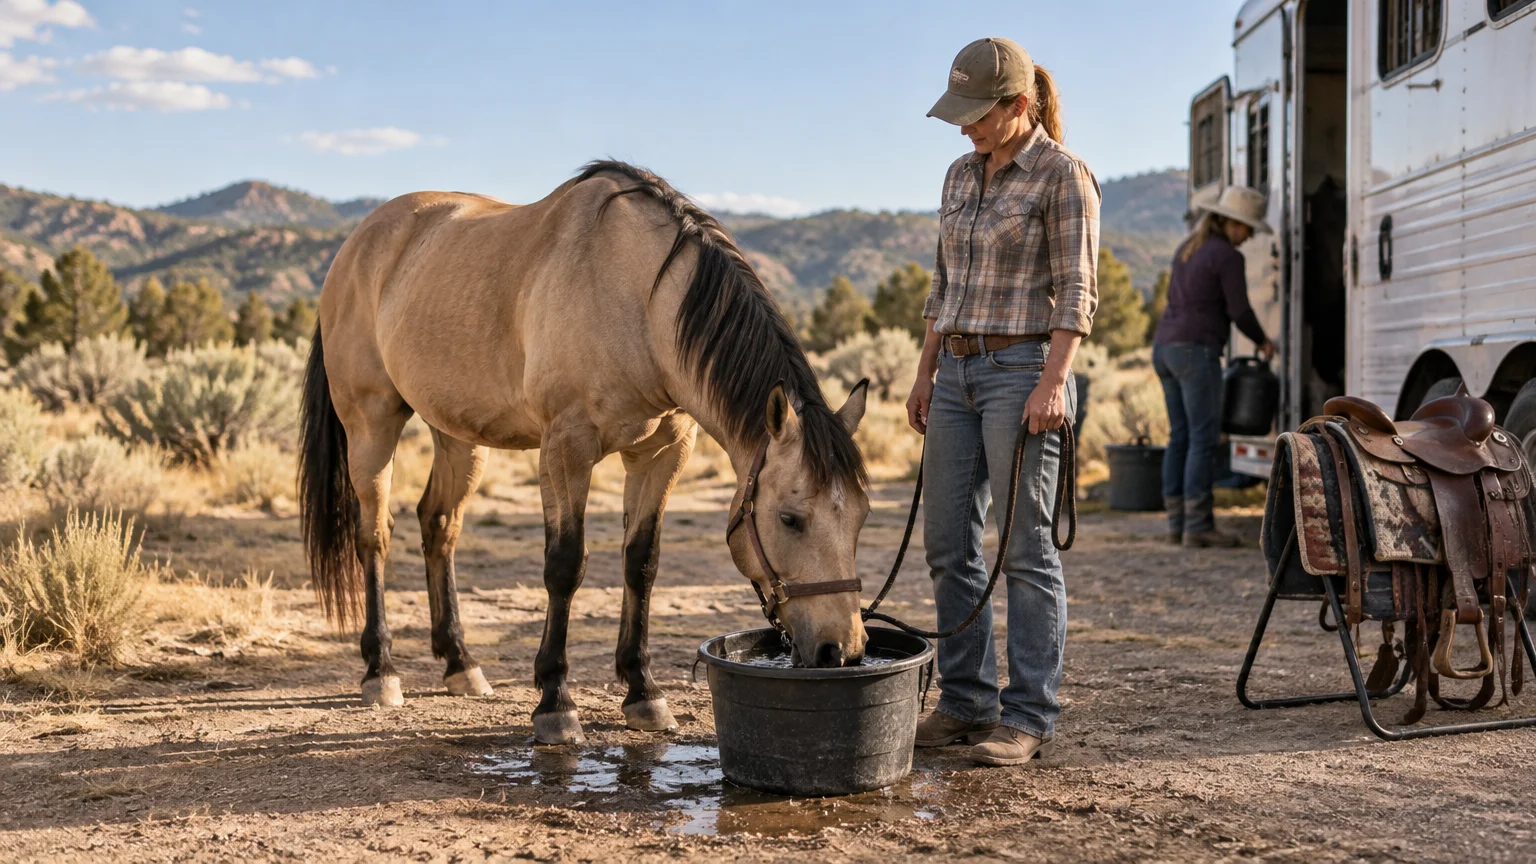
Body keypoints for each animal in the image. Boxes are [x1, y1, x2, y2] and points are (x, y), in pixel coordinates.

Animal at [298, 161, 871, 744]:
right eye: (790, 518)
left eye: (860, 517)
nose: (841, 651)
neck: (638, 302)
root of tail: (356, 245)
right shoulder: (566, 449)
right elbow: (565, 565)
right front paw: (555, 702)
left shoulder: (662, 452)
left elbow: (641, 562)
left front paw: (643, 691)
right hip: (371, 424)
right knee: (375, 535)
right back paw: (381, 670)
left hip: (458, 435)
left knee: (438, 526)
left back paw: (460, 663)